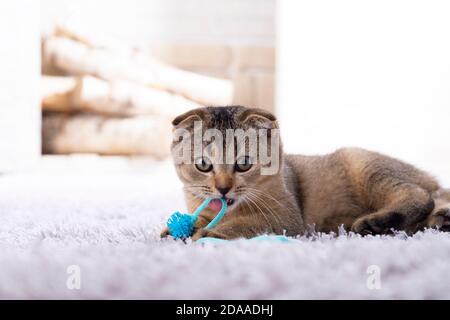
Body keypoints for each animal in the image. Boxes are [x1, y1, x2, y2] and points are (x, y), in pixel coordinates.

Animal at [162, 106, 450, 239]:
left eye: (244, 163)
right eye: (203, 165)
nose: (223, 188)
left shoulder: (286, 218)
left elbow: (244, 224)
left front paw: (210, 233)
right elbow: (199, 217)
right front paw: (181, 229)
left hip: (365, 164)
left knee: (421, 196)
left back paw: (375, 223)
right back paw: (440, 220)